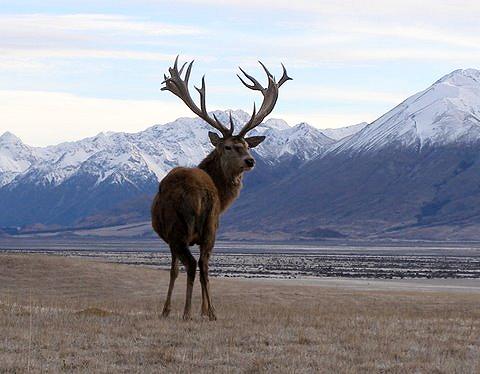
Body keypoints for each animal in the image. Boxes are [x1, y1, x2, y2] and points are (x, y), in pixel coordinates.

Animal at [152, 57, 290, 320]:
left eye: (247, 145)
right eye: (228, 146)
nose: (250, 161)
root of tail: (200, 193)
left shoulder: (174, 238)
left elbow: (173, 269)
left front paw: (167, 310)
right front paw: (201, 309)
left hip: (180, 230)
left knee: (193, 264)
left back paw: (188, 312)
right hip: (208, 228)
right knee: (203, 264)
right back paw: (209, 312)